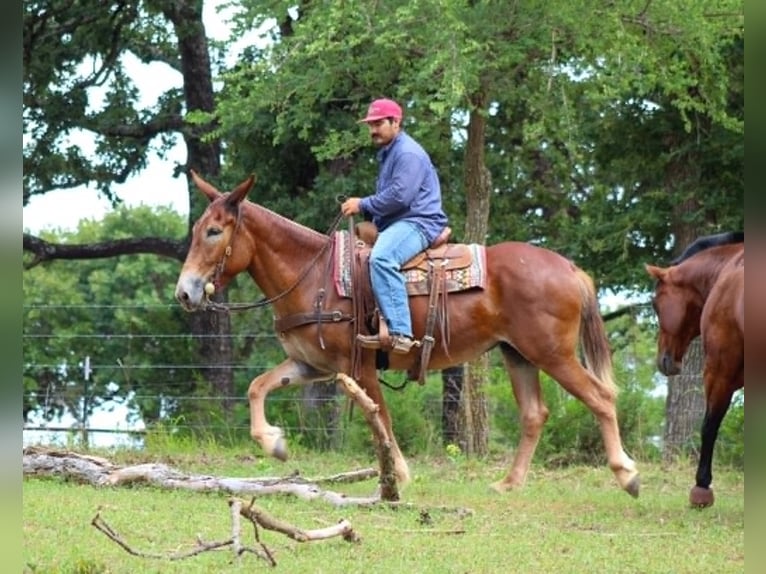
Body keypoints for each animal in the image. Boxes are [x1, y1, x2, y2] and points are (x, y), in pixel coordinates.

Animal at [175, 170, 640, 500]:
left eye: (214, 231)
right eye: (197, 229)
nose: (185, 292)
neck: (313, 274)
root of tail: (570, 268)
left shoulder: (359, 368)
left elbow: (380, 417)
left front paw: (397, 474)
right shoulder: (311, 364)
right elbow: (257, 386)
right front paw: (274, 444)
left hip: (553, 354)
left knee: (600, 398)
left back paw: (627, 475)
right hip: (518, 354)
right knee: (534, 414)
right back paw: (509, 483)